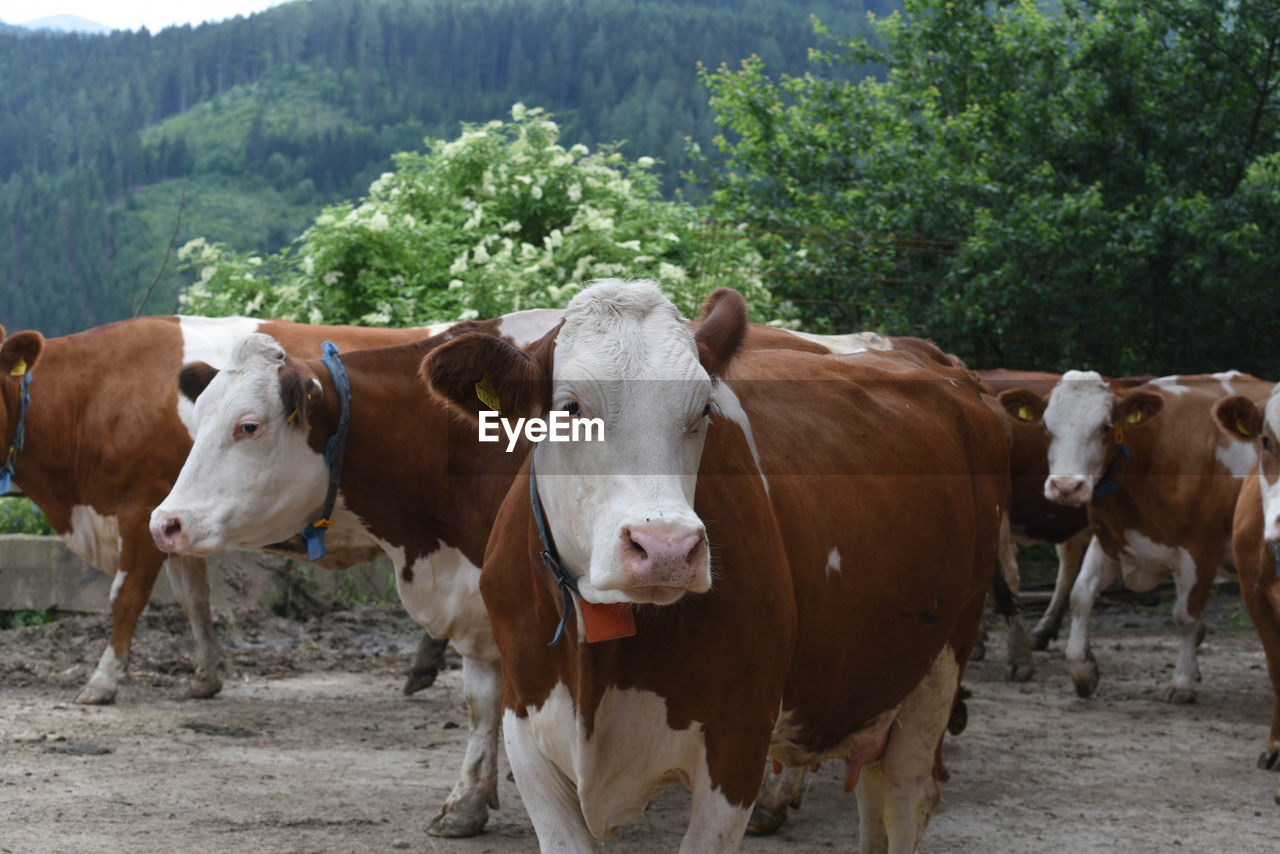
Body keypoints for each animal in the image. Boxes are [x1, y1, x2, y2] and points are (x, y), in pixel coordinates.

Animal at [0, 313, 555, 701]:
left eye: (248, 426)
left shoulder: (141, 512)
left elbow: (126, 599)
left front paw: (102, 680)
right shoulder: (172, 516)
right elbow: (194, 599)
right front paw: (205, 676)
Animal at [1003, 371, 1274, 701]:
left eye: (1105, 427)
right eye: (1045, 426)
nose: (1066, 487)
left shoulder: (1199, 551)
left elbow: (1185, 617)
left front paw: (1182, 682)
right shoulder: (1111, 540)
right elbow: (1080, 595)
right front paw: (1083, 669)